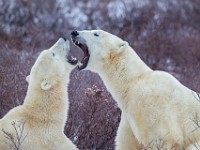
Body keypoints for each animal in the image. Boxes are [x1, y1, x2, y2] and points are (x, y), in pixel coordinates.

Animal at [70, 29, 200, 149]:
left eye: (96, 33)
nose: (74, 32)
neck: (133, 81)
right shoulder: (128, 117)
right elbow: (127, 143)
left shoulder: (150, 107)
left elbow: (163, 138)